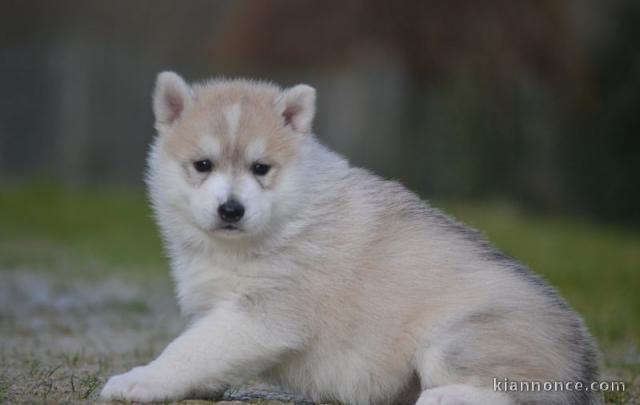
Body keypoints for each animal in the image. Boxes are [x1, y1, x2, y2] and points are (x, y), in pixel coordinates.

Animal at [100, 72, 600, 404]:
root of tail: (584, 369)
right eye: (202, 165)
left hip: (458, 338)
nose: (231, 209)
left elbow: (189, 348)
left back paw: (442, 397)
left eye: (261, 168)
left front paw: (141, 379)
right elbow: (203, 346)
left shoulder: (262, 314)